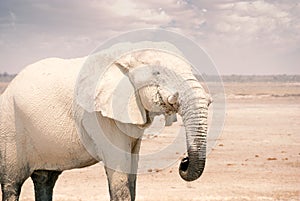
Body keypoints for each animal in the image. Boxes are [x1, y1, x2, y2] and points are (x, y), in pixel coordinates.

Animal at [0, 41, 211, 200]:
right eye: (157, 73)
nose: (184, 161)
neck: (127, 56)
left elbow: (131, 173)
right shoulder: (98, 117)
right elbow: (120, 174)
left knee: (45, 179)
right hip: (10, 128)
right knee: (12, 184)